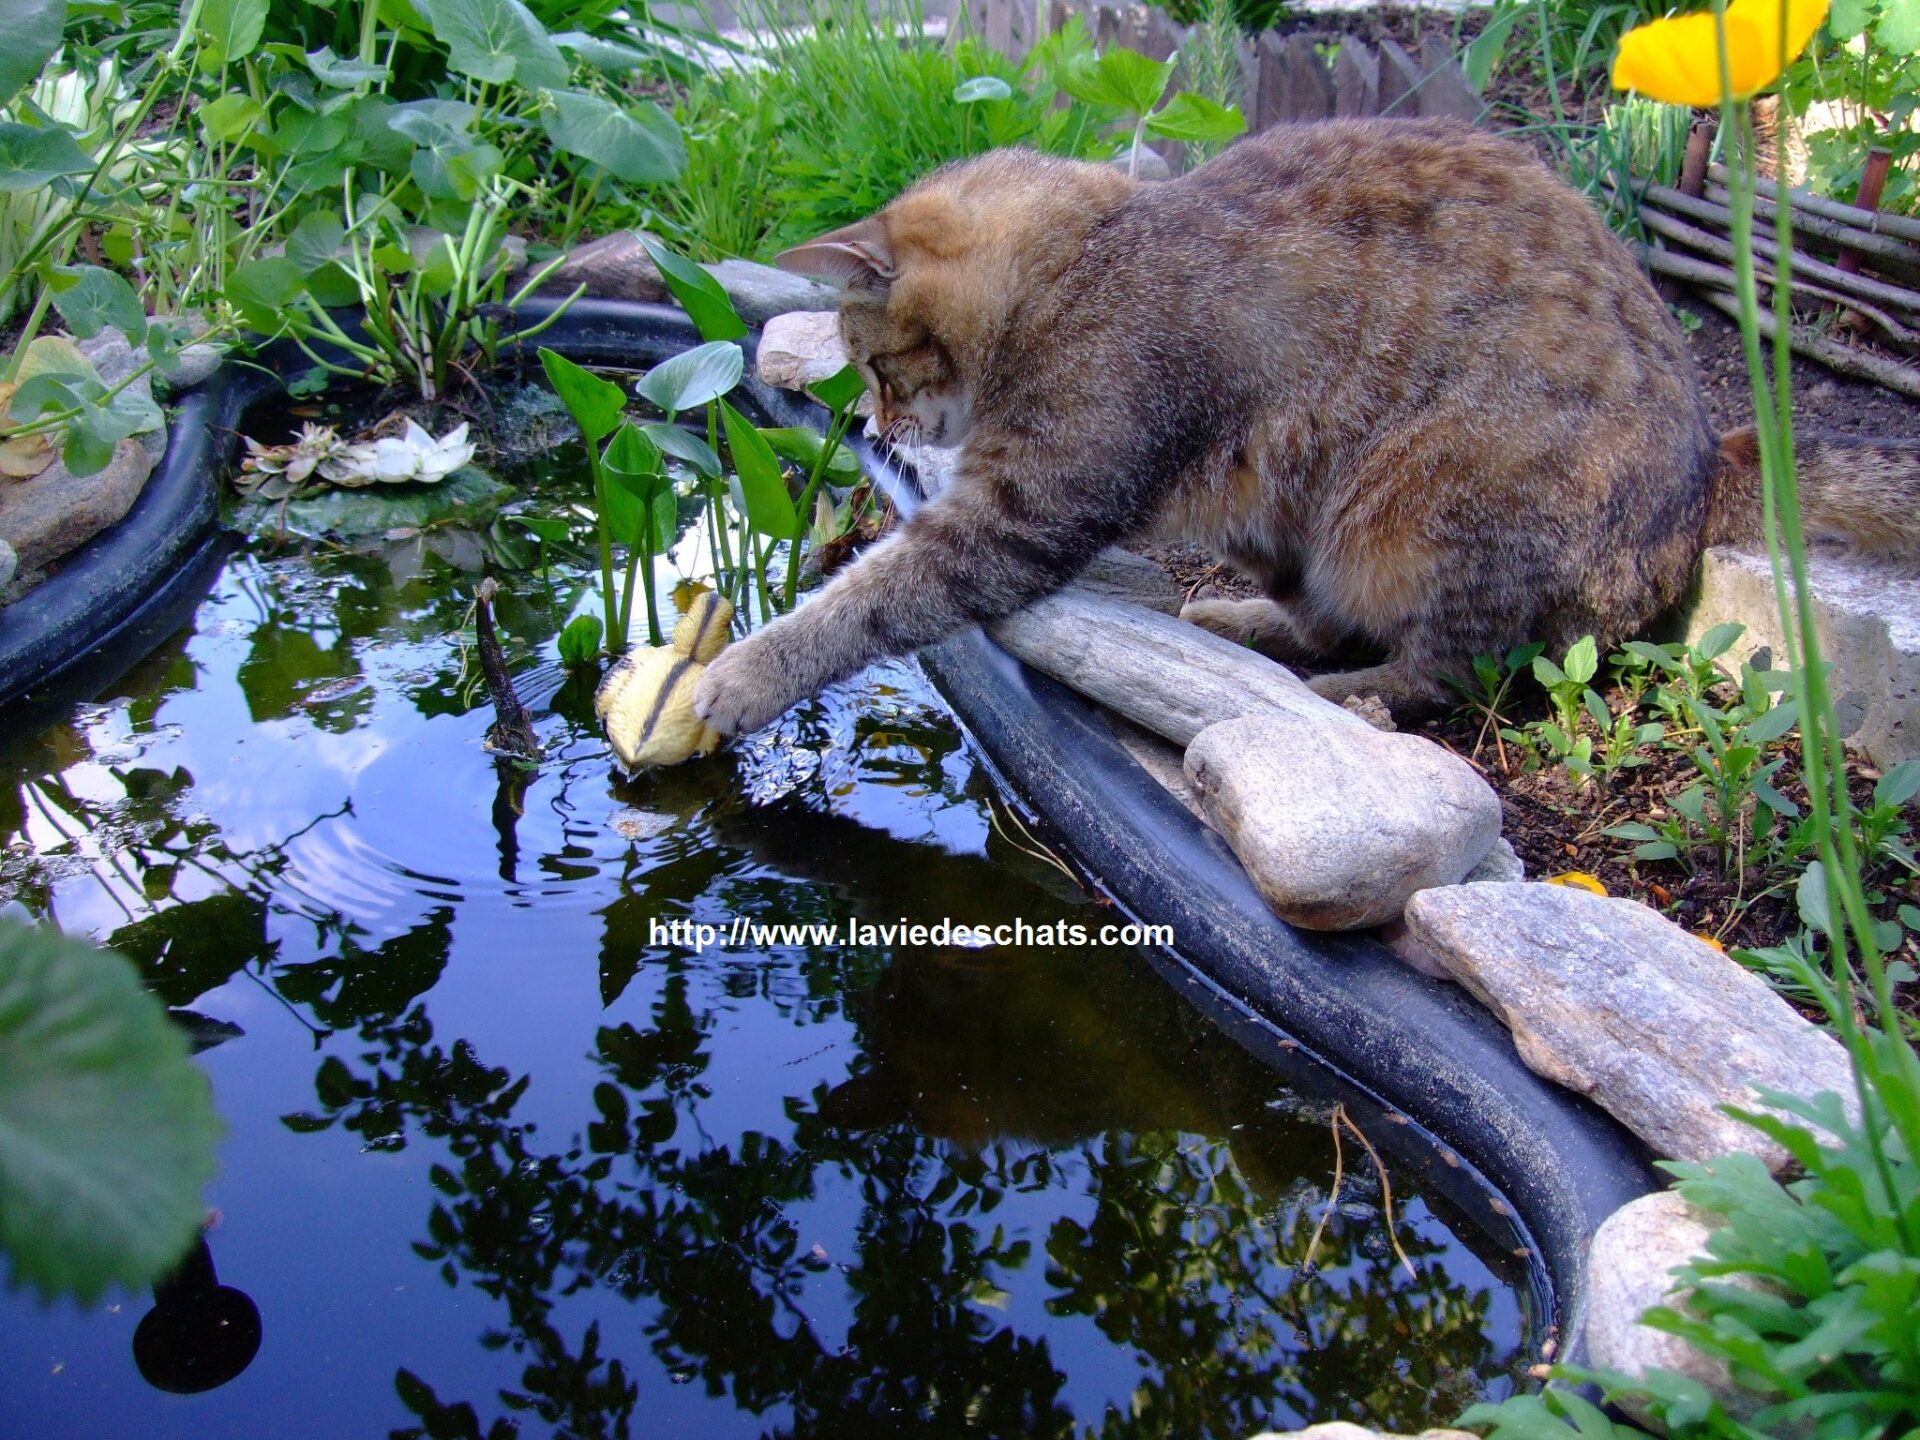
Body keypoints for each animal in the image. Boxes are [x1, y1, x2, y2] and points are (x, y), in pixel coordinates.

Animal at [691, 118, 1920, 737]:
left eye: (871, 365)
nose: (874, 417)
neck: (1081, 261)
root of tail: (1712, 467)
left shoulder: (1023, 510)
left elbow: (865, 601)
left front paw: (739, 677)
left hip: (1425, 506)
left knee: (1458, 670)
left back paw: (1344, 704)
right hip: (1300, 515)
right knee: (1325, 616)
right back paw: (1247, 627)